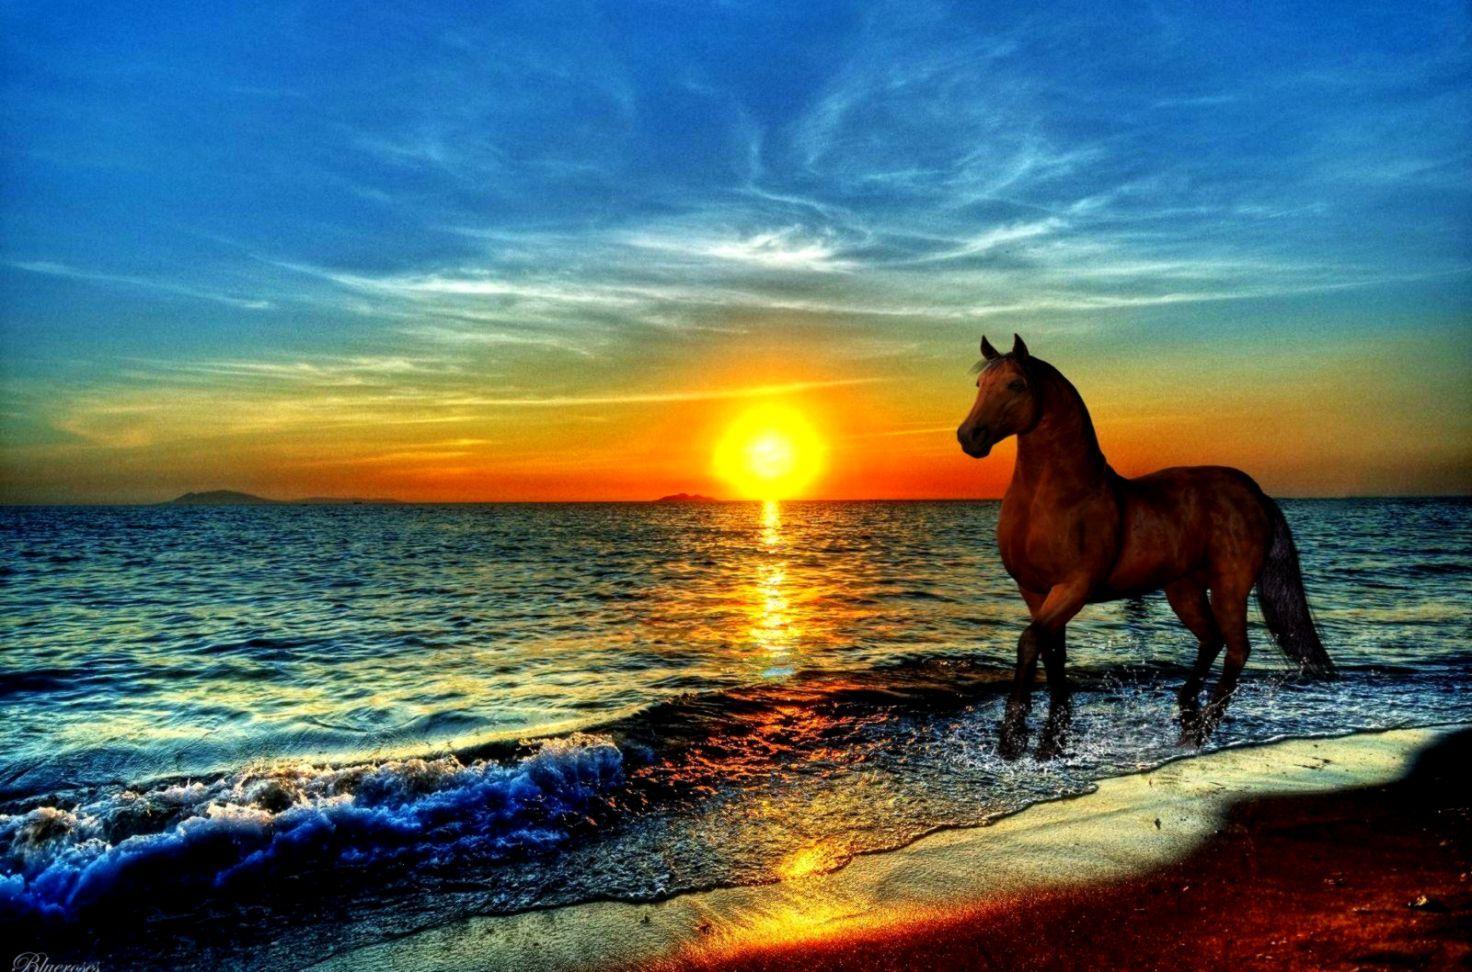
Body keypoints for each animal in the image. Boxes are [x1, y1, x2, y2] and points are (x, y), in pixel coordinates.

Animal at [955, 334, 1334, 759]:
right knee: (1211, 640)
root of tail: (1256, 494)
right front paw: (1054, 735)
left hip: (1230, 588)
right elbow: (1053, 654)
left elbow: (1029, 642)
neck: (1052, 498)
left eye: (1016, 385)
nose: (969, 436)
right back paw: (1185, 709)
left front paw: (1013, 739)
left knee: (1237, 649)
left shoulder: (1074, 587)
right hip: (1183, 590)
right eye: (979, 385)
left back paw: (1202, 729)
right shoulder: (1035, 590)